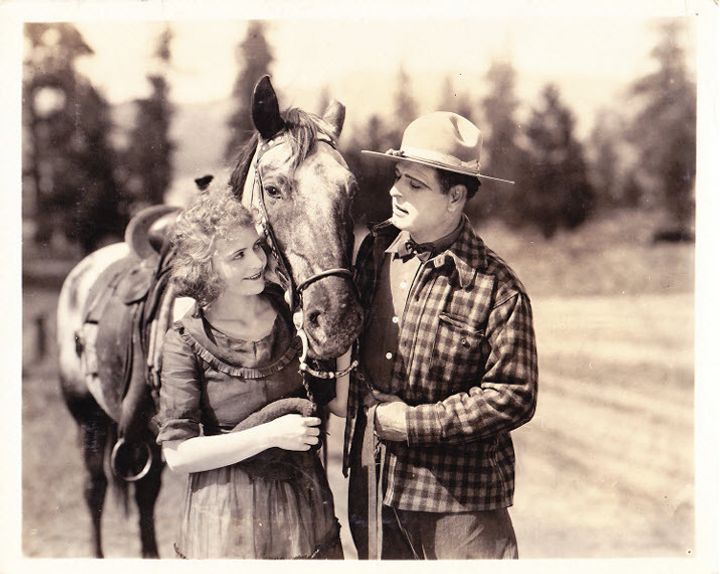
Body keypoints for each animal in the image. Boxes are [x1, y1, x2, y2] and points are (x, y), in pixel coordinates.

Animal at [56, 76, 362, 560]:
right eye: (274, 189)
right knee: (95, 490)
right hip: (88, 417)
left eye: (350, 190)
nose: (337, 320)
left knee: (145, 494)